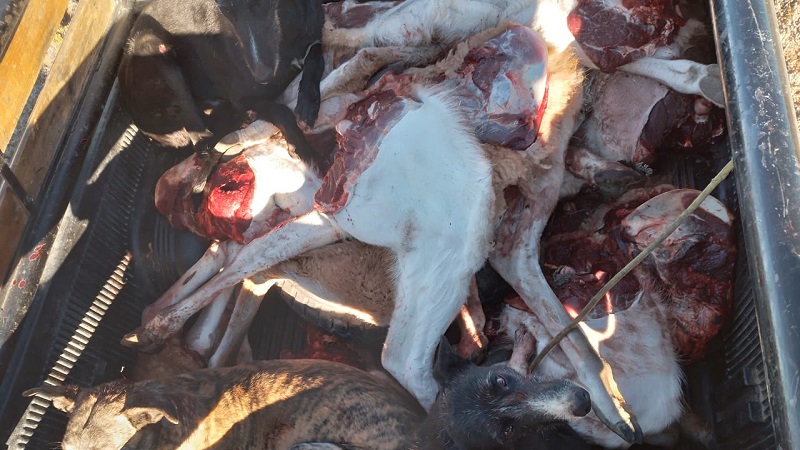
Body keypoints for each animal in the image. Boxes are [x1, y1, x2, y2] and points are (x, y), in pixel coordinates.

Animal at [118, 0, 325, 191]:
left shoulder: (313, 38)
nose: (263, 77)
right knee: (201, 143)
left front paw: (307, 104)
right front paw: (304, 149)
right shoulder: (240, 98)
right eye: (225, 9)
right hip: (154, 49)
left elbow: (316, 57)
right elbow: (281, 111)